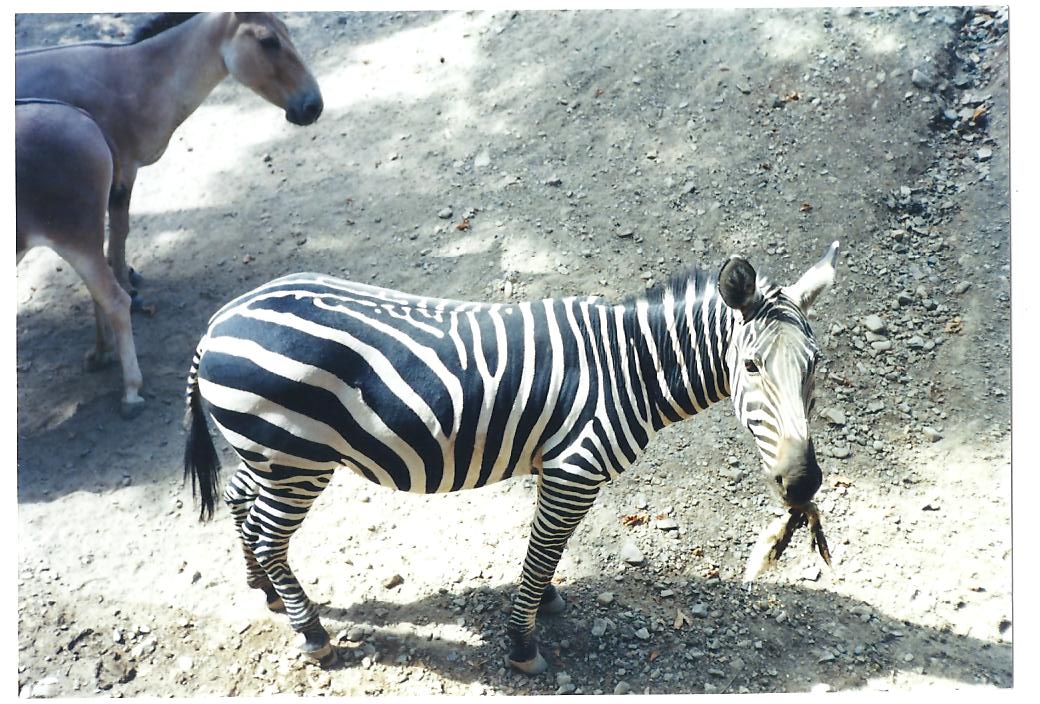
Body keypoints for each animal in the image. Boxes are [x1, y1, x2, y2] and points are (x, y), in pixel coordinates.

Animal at [183, 241, 840, 673]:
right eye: (751, 367)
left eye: (814, 366)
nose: (803, 485)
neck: (629, 367)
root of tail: (216, 323)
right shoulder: (574, 471)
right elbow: (543, 551)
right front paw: (524, 645)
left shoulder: (553, 469)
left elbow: (543, 553)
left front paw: (542, 604)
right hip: (297, 460)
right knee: (270, 534)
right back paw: (311, 633)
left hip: (267, 456)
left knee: (242, 503)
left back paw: (262, 589)